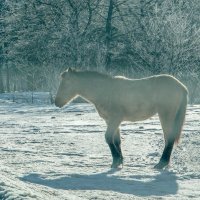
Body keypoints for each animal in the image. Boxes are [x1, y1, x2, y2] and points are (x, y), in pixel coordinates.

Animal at [54, 67, 188, 169]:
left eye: (65, 83)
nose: (56, 102)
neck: (104, 91)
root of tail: (182, 87)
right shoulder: (111, 121)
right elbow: (116, 141)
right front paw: (118, 161)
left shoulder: (115, 119)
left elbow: (108, 138)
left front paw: (116, 161)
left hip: (166, 116)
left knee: (169, 138)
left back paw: (161, 163)